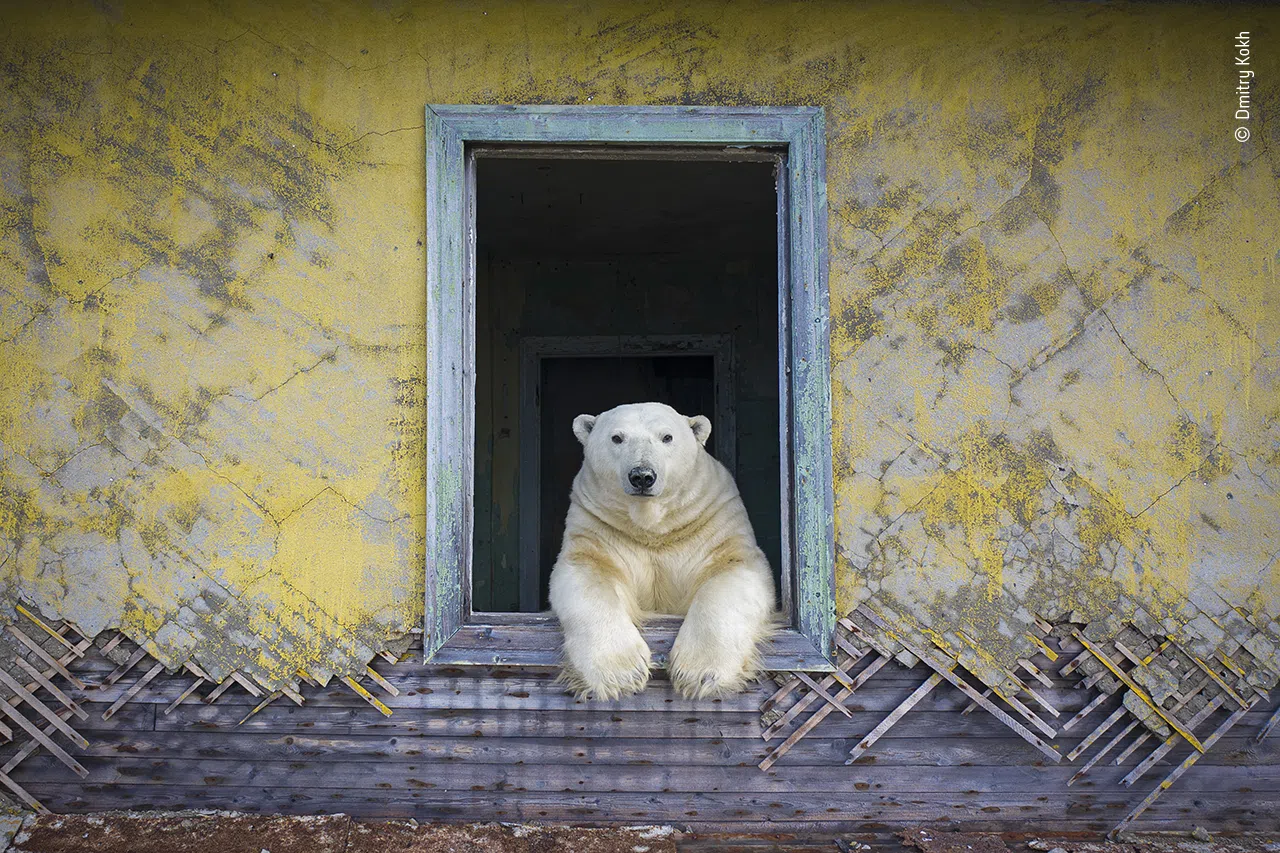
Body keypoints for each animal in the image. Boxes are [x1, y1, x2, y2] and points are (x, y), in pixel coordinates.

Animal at [545, 399, 773, 696]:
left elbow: (732, 572)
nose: (642, 476)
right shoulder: (598, 527)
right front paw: (621, 673)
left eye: (667, 437)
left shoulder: (714, 520)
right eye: (617, 438)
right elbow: (587, 574)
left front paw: (699, 673)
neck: (652, 529)